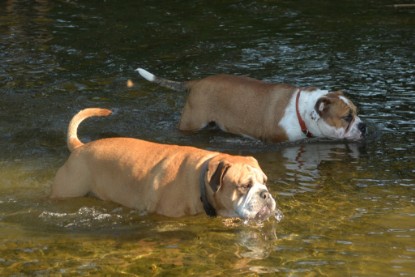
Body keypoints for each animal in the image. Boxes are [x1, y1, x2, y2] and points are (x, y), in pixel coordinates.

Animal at [137, 68, 368, 142]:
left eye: (357, 113)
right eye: (347, 117)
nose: (363, 125)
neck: (302, 113)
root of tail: (197, 82)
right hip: (192, 122)